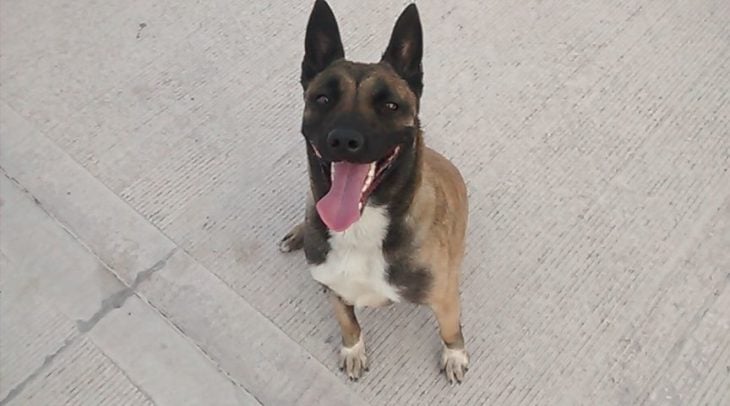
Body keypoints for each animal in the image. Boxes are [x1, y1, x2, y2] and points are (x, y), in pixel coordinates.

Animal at [276, 0, 470, 382]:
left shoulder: (444, 297)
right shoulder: (338, 292)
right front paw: (352, 350)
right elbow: (349, 324)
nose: (344, 140)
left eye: (390, 105)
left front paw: (454, 355)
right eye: (322, 98)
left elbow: (449, 329)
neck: (362, 225)